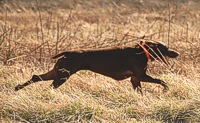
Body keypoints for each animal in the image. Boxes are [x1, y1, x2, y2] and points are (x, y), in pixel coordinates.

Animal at [14, 40, 179, 93]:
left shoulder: (135, 79)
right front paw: (166, 89)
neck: (142, 52)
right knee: (50, 86)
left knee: (36, 77)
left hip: (57, 72)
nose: (177, 53)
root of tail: (68, 53)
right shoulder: (141, 76)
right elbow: (162, 81)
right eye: (166, 48)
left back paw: (17, 88)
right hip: (63, 75)